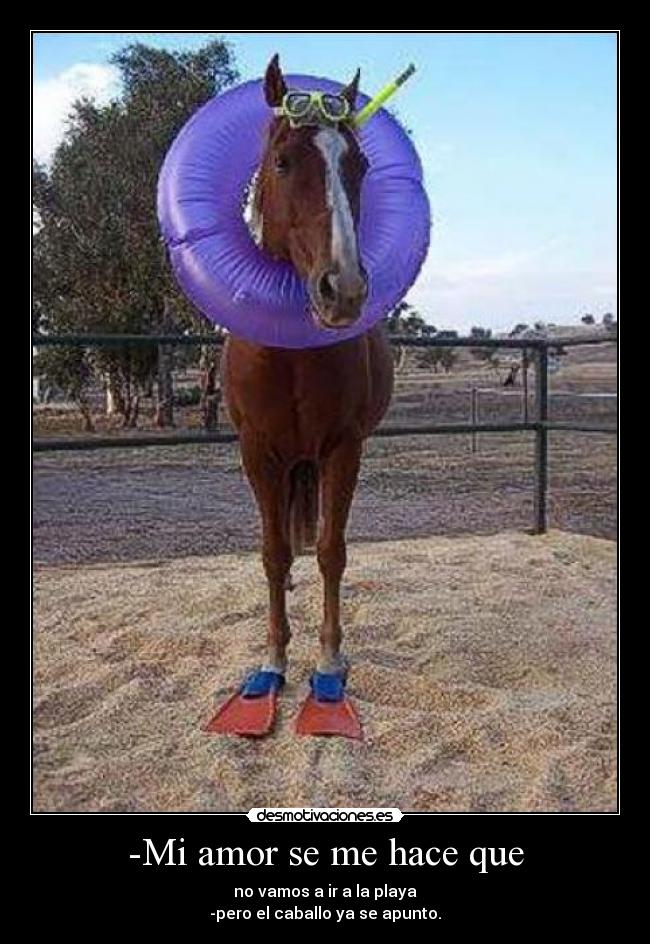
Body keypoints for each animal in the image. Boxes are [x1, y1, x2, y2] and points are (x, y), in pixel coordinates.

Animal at [216, 55, 394, 735]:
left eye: (359, 165)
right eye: (284, 160)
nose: (342, 289)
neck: (288, 356)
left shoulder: (343, 449)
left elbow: (331, 551)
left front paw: (328, 665)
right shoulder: (257, 452)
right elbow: (271, 554)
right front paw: (270, 665)